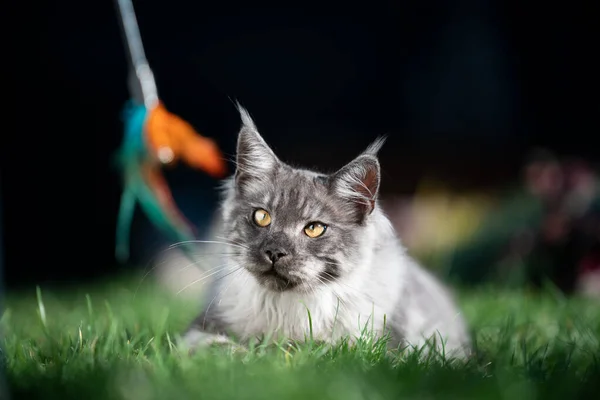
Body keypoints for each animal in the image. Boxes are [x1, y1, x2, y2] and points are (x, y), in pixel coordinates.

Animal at [176, 104, 472, 358]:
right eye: (261, 216)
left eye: (315, 229)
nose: (274, 252)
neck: (286, 309)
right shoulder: (199, 328)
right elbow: (214, 346)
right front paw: (245, 354)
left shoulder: (379, 347)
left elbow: (317, 350)